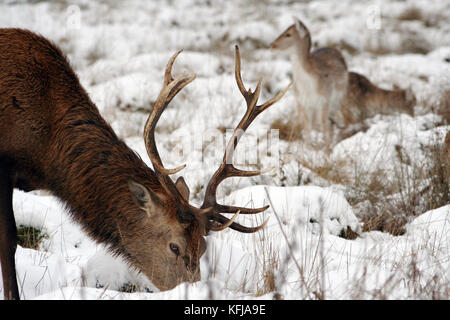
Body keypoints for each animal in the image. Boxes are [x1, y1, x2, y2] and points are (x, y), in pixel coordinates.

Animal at [268, 19, 416, 145]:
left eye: (288, 34)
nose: (272, 45)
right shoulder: (303, 103)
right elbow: (308, 126)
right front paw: (311, 148)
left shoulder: (326, 101)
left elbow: (323, 124)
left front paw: (324, 148)